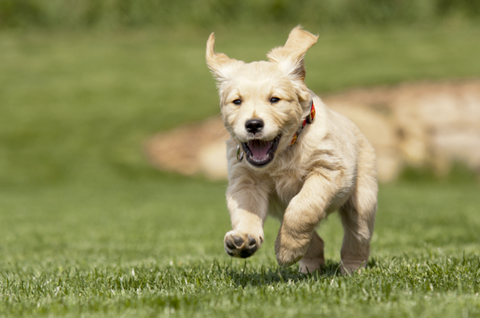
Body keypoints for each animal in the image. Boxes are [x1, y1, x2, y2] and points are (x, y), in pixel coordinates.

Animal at [204, 26, 376, 274]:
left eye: (275, 99)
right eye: (237, 101)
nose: (253, 124)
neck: (284, 153)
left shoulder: (328, 170)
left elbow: (302, 207)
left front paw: (287, 250)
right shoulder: (245, 182)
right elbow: (247, 211)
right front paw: (244, 239)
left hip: (363, 199)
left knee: (357, 236)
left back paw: (351, 269)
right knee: (315, 239)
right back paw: (309, 266)